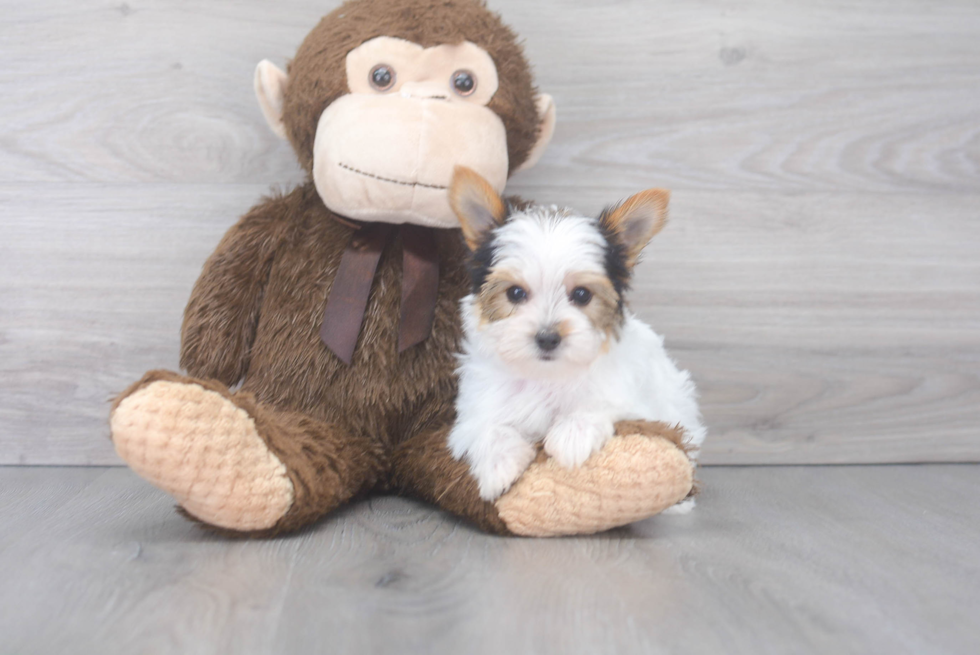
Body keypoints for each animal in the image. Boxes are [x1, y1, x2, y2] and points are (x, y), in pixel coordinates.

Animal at [444, 167, 704, 500]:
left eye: (582, 295)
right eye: (515, 293)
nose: (547, 337)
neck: (546, 376)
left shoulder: (637, 403)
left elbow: (605, 405)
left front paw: (572, 436)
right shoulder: (474, 409)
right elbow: (487, 426)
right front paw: (498, 466)